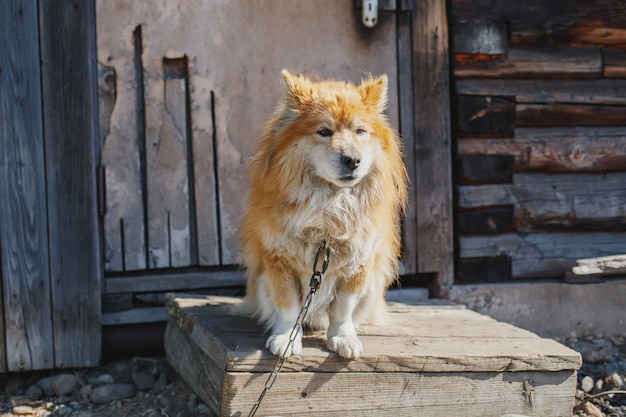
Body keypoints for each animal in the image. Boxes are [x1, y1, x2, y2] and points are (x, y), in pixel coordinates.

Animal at [236, 69, 408, 358]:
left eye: (360, 131)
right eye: (324, 131)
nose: (352, 160)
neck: (329, 214)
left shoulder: (357, 265)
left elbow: (342, 310)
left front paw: (342, 338)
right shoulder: (278, 261)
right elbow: (288, 306)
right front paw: (286, 338)